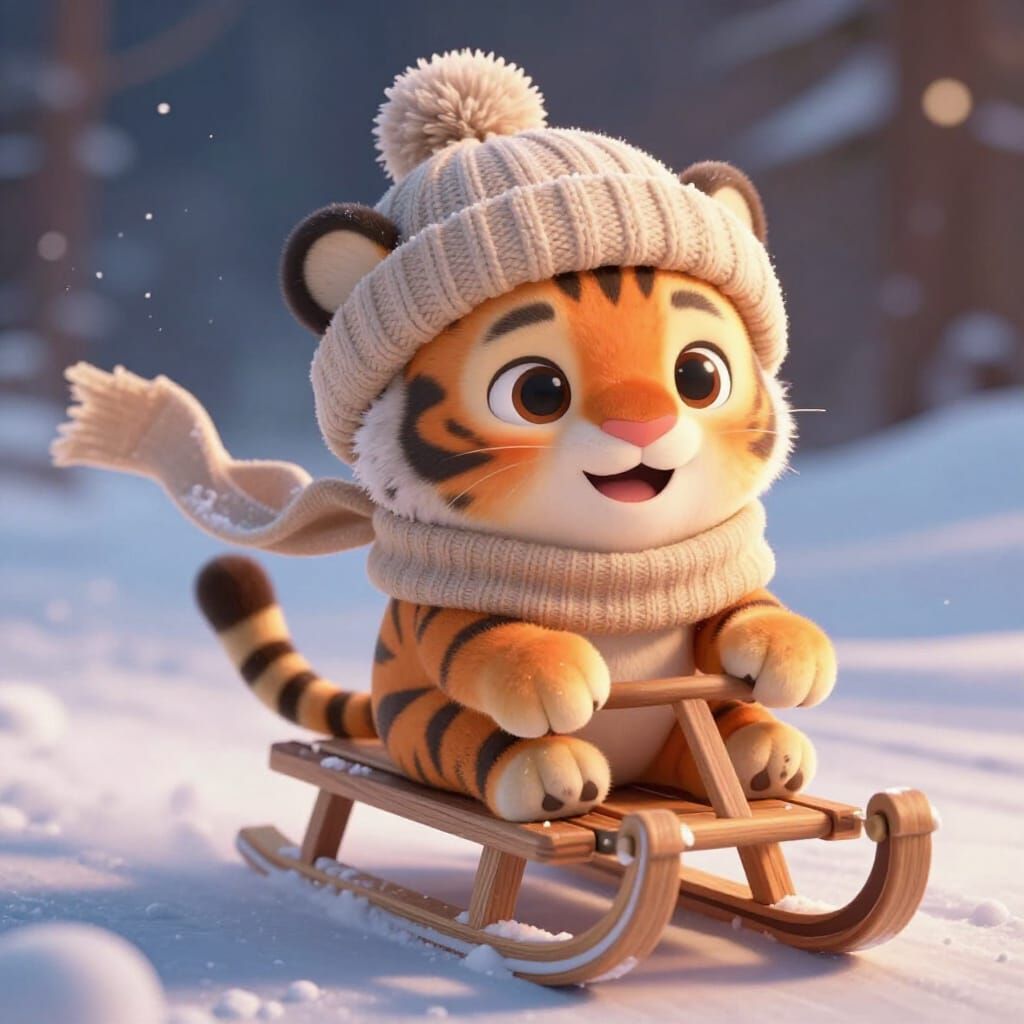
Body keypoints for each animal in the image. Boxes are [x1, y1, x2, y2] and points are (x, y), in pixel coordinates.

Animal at [197, 215, 837, 823]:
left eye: (699, 376)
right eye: (539, 391)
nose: (642, 425)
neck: (613, 566)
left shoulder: (698, 591)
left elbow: (740, 608)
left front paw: (789, 648)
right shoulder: (441, 608)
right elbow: (487, 641)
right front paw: (554, 672)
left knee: (717, 728)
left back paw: (762, 751)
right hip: (419, 724)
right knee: (472, 742)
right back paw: (551, 771)